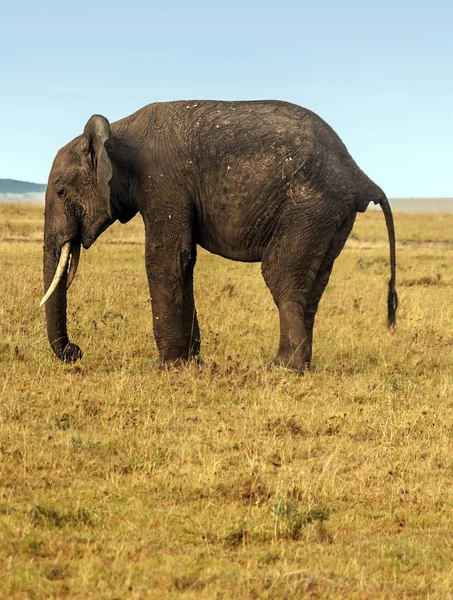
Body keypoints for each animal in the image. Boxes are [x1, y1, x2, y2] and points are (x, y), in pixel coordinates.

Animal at [41, 101, 396, 372]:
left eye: (60, 191)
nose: (75, 351)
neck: (115, 131)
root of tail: (359, 175)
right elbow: (184, 262)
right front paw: (189, 363)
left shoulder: (163, 182)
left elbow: (166, 259)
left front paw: (163, 368)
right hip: (329, 219)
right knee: (313, 287)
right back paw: (295, 364)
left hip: (308, 208)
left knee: (280, 275)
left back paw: (283, 369)